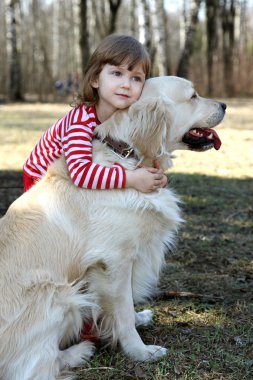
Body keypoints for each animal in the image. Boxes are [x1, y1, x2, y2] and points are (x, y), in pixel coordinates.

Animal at [0, 75, 225, 378]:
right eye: (193, 96)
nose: (224, 105)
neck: (127, 159)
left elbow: (126, 306)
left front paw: (140, 318)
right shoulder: (114, 261)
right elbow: (123, 310)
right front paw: (140, 351)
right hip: (57, 294)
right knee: (39, 367)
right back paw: (80, 351)